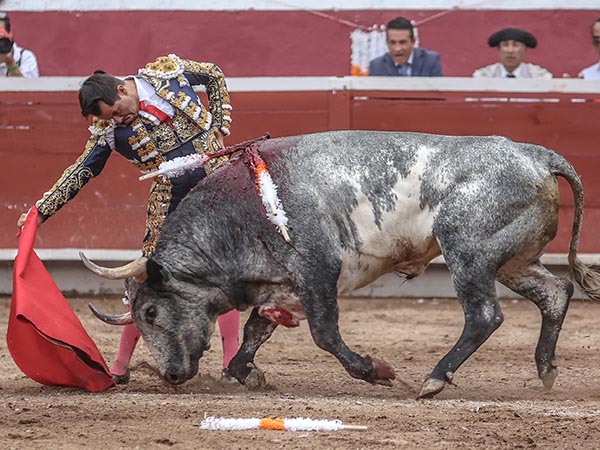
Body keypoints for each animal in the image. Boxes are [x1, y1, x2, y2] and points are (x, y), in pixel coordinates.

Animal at [82, 129, 600, 398]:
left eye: (151, 312)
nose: (170, 375)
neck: (242, 211)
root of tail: (535, 154)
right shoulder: (281, 286)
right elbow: (254, 330)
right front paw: (247, 372)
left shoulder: (318, 272)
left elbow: (324, 334)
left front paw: (376, 370)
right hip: (513, 260)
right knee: (555, 292)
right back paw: (545, 369)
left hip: (468, 254)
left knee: (485, 315)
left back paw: (433, 379)